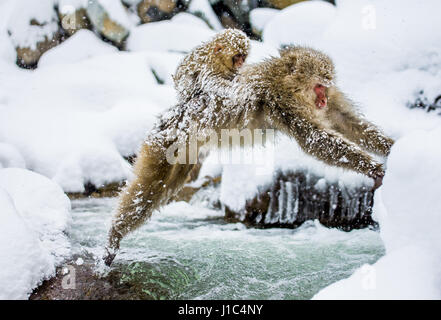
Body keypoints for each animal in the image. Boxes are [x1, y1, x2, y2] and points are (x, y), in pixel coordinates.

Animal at [101, 29, 249, 264]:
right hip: (157, 148)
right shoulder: (210, 70)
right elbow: (218, 86)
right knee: (145, 191)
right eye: (237, 56)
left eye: (244, 56)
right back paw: (114, 235)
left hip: (183, 153)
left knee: (163, 187)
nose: (242, 64)